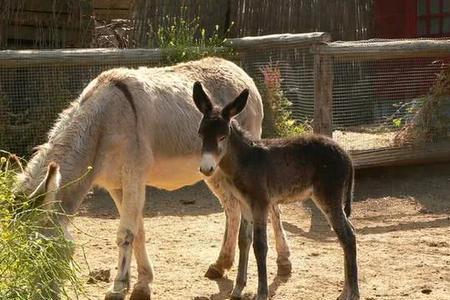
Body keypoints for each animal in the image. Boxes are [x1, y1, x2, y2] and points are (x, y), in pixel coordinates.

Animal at [192, 82, 358, 300]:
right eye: (200, 134)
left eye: (222, 137)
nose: (206, 169)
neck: (245, 160)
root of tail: (346, 154)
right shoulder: (245, 205)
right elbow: (244, 241)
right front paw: (238, 289)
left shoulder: (260, 203)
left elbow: (260, 245)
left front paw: (261, 293)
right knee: (348, 233)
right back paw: (345, 291)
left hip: (328, 196)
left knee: (348, 236)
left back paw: (353, 293)